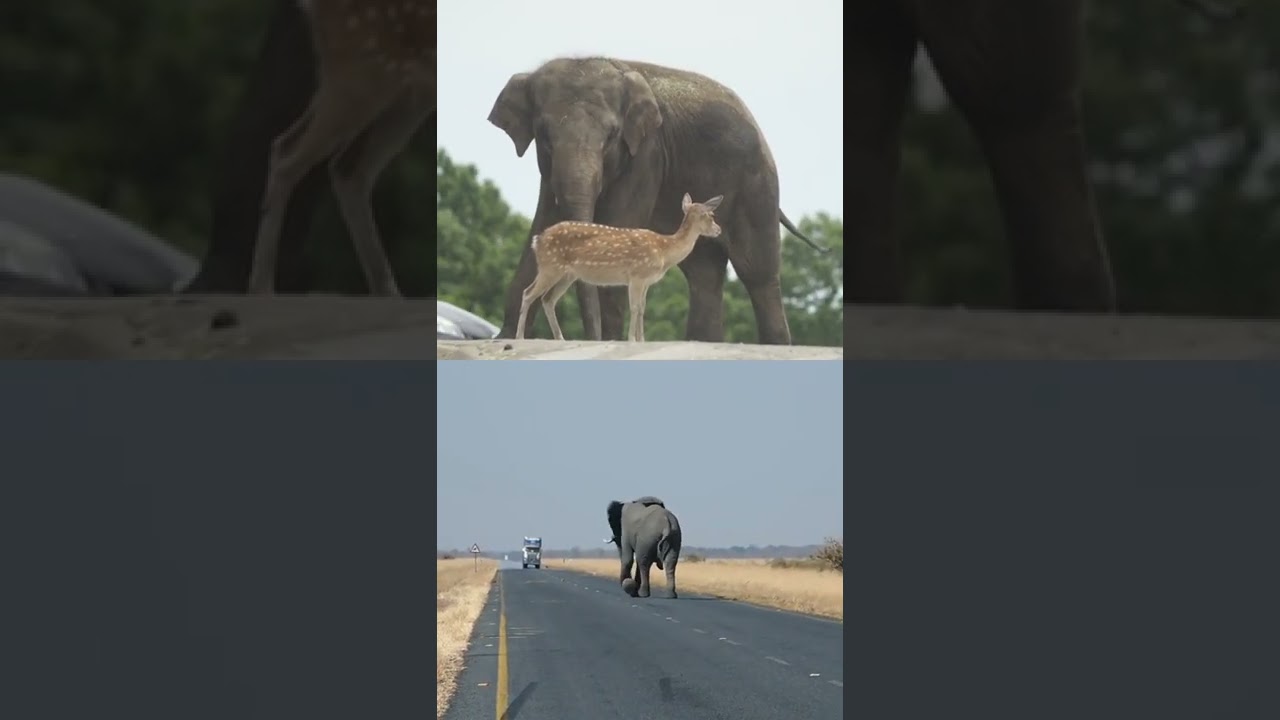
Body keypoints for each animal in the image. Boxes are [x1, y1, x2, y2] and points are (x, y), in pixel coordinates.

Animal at [488, 57, 826, 346]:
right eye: (544, 135)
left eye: (612, 136)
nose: (592, 338)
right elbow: (543, 219)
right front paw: (505, 338)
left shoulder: (647, 151)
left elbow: (619, 222)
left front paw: (617, 340)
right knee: (704, 274)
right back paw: (701, 342)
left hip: (757, 184)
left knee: (758, 272)